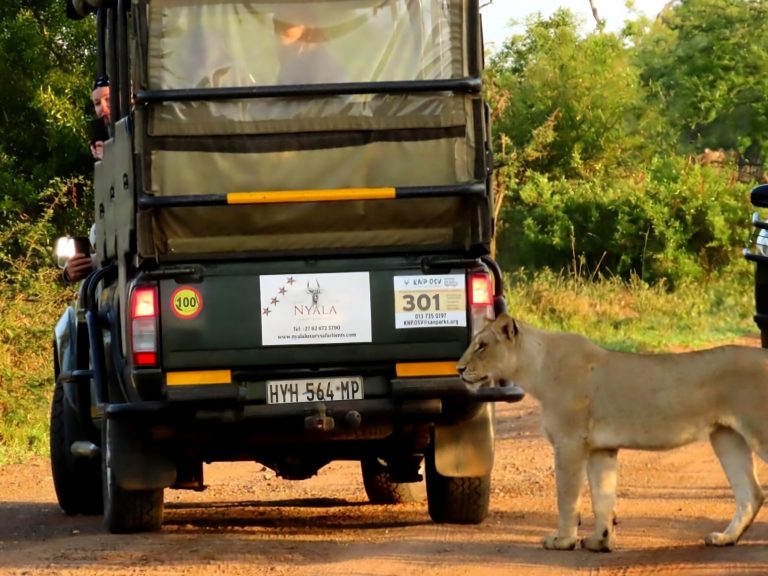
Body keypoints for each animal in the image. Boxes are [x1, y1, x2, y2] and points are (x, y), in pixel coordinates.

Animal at [457, 313, 768, 552]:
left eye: (482, 346)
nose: (459, 369)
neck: (537, 367)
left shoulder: (569, 442)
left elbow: (567, 497)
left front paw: (562, 541)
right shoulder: (600, 449)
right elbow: (602, 497)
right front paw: (600, 542)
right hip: (726, 437)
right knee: (750, 493)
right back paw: (725, 539)